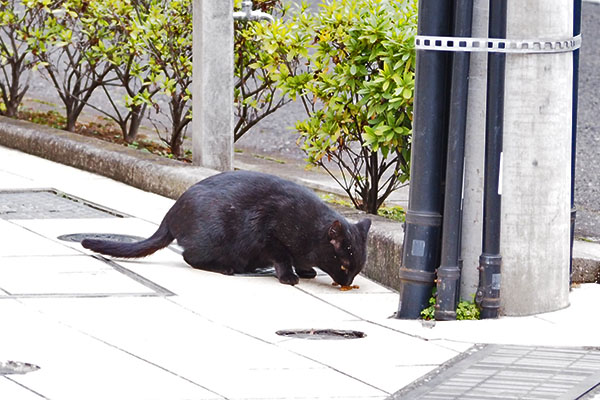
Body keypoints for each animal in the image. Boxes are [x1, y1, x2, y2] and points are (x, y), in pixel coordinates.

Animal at [79, 170, 370, 286]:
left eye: (356, 268)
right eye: (344, 265)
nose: (347, 282)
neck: (311, 230)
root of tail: (171, 213)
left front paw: (306, 270)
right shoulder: (268, 233)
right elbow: (283, 257)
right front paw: (289, 276)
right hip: (216, 235)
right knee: (189, 256)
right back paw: (225, 268)